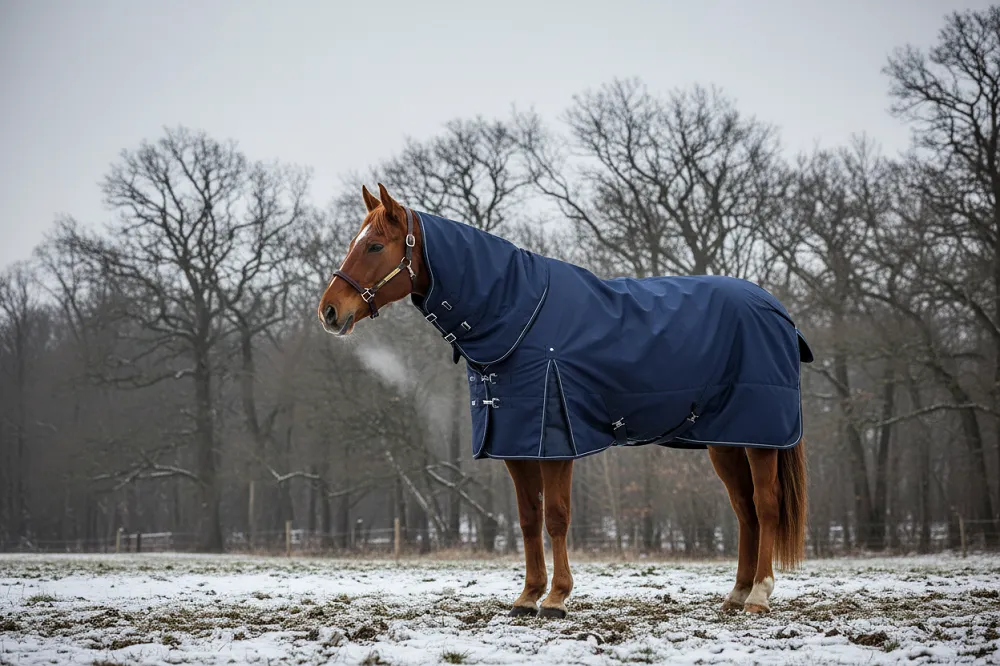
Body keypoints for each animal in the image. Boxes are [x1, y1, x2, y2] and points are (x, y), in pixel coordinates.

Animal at [318, 183, 810, 618]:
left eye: (375, 246)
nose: (329, 311)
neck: (519, 316)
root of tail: (776, 310)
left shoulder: (555, 442)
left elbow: (556, 516)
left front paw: (556, 597)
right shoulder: (514, 444)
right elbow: (528, 518)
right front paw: (527, 596)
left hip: (761, 438)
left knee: (766, 506)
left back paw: (759, 595)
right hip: (725, 441)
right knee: (745, 511)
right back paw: (736, 594)